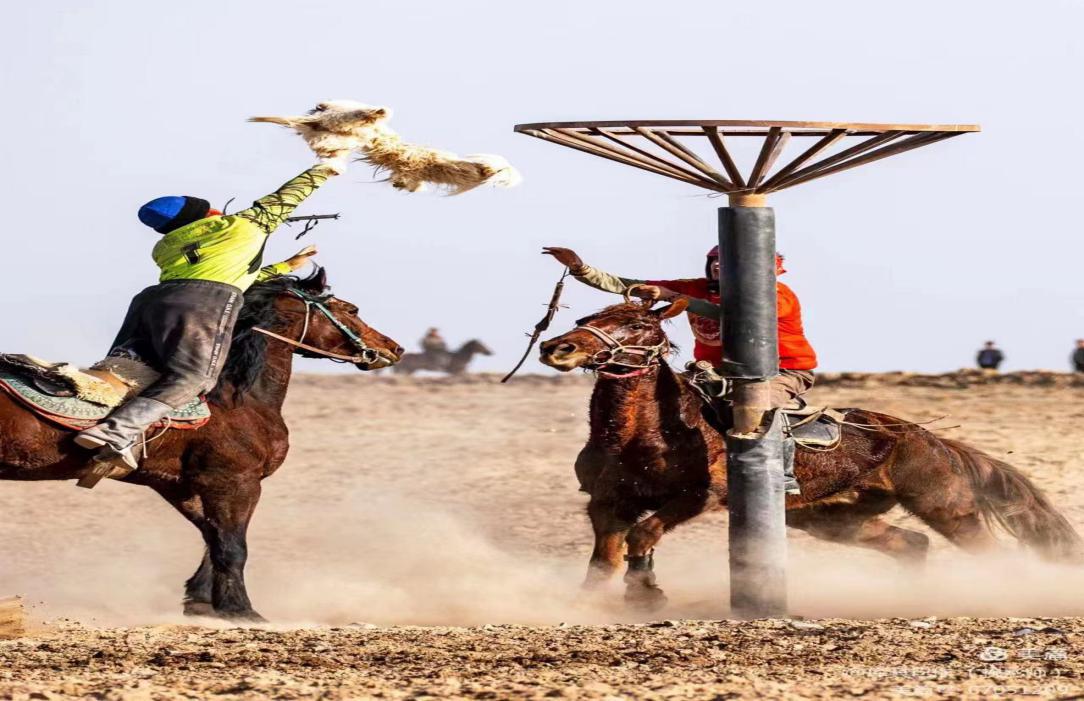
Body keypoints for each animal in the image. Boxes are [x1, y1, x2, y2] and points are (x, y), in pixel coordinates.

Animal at [0, 268, 403, 621]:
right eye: (351, 309)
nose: (393, 348)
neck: (234, 401)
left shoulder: (180, 485)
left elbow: (213, 537)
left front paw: (201, 601)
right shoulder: (234, 483)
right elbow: (232, 547)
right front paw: (241, 611)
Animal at [539, 299, 1083, 609]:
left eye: (634, 323)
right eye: (588, 318)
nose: (557, 347)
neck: (644, 432)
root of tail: (927, 438)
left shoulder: (698, 498)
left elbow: (643, 534)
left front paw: (647, 592)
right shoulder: (606, 504)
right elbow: (604, 561)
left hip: (948, 507)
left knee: (988, 553)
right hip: (833, 518)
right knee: (910, 544)